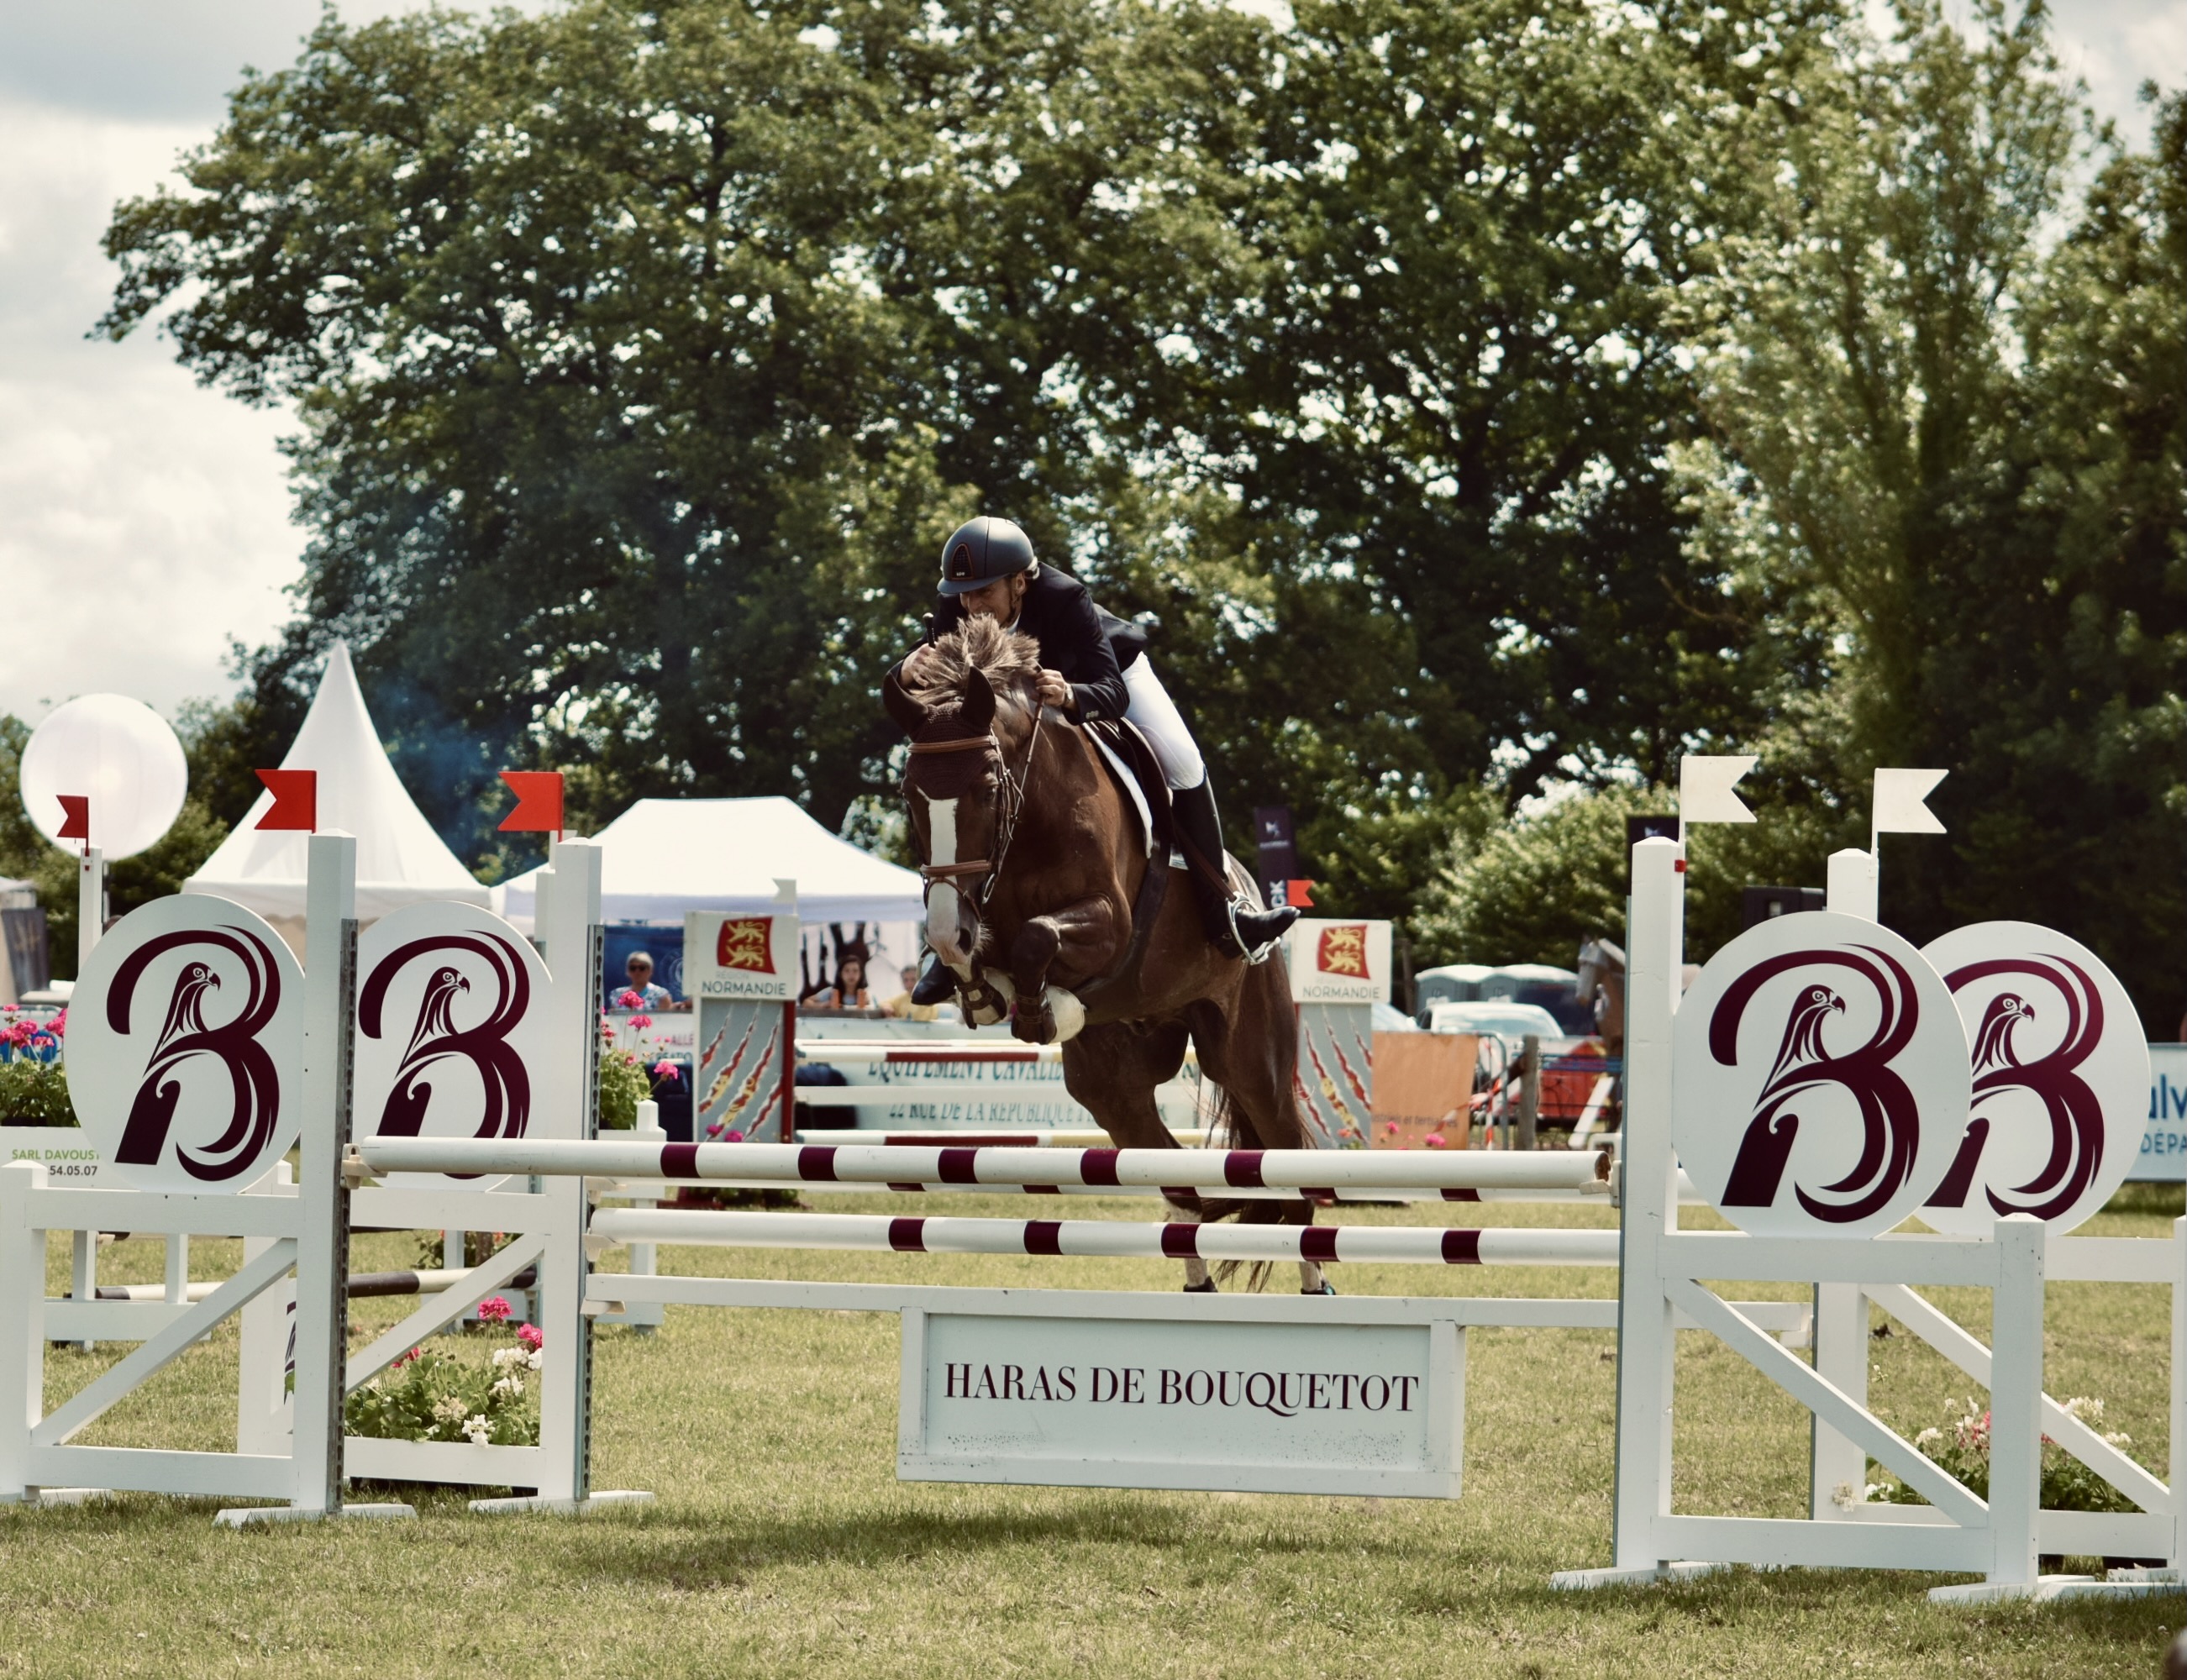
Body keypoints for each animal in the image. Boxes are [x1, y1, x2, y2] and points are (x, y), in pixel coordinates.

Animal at [884, 616, 1329, 1293]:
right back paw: (1198, 1283)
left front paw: (1038, 1008)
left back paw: (1314, 1286)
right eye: (910, 794)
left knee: (1286, 1162)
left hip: (1252, 1057)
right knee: (1172, 1175)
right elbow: (994, 954)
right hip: (1111, 1084)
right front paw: (982, 990)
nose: (946, 927)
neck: (1031, 811)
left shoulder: (1110, 922)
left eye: (986, 789)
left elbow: (1037, 937)